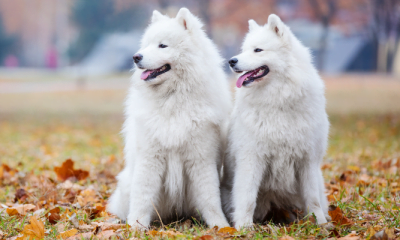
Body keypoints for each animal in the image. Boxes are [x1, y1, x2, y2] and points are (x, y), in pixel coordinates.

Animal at [107, 7, 231, 229]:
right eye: (147, 44)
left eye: (162, 45)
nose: (136, 57)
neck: (173, 98)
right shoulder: (150, 158)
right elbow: (142, 197)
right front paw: (136, 226)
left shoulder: (201, 158)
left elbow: (210, 197)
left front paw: (220, 226)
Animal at [220, 14, 330, 228]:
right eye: (243, 49)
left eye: (258, 50)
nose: (231, 61)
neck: (278, 100)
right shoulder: (252, 158)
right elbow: (247, 197)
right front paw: (244, 227)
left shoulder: (308, 160)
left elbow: (312, 198)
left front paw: (319, 224)